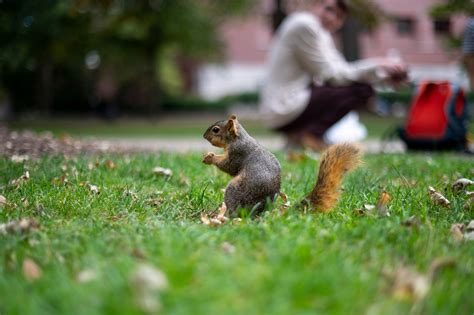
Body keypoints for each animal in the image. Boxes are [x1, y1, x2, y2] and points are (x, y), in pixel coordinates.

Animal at [202, 115, 362, 217]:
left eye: (216, 130)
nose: (204, 136)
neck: (238, 138)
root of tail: (261, 210)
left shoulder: (238, 153)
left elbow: (228, 166)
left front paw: (210, 158)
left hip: (236, 190)